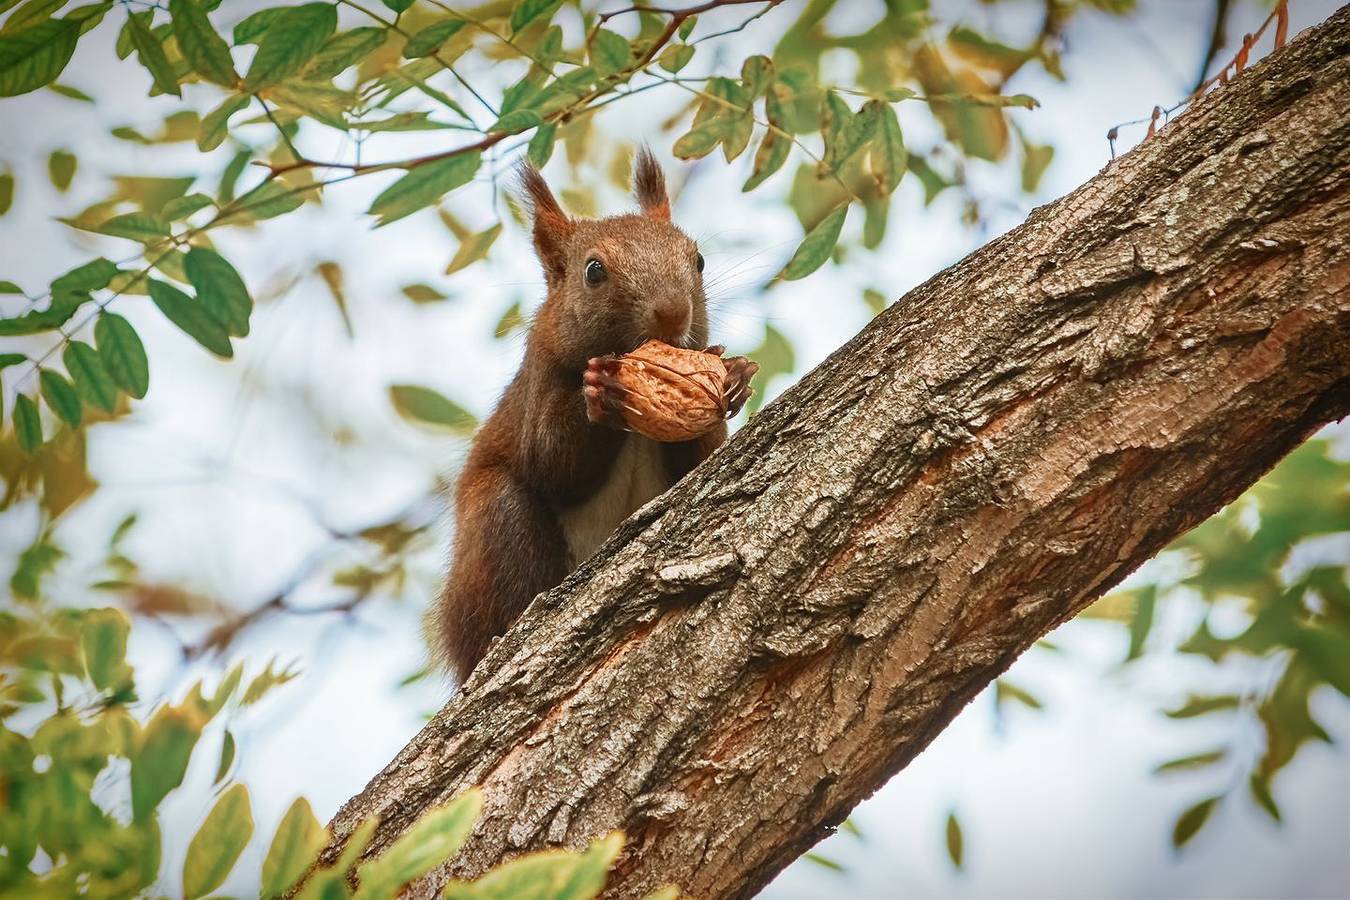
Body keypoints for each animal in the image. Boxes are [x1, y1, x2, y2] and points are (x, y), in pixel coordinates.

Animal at [434, 149, 761, 682]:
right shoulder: (540, 384)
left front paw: (735, 373)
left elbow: (699, 464)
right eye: (593, 271)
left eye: (698, 259)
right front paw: (601, 395)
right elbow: (551, 464)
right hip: (492, 532)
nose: (673, 312)